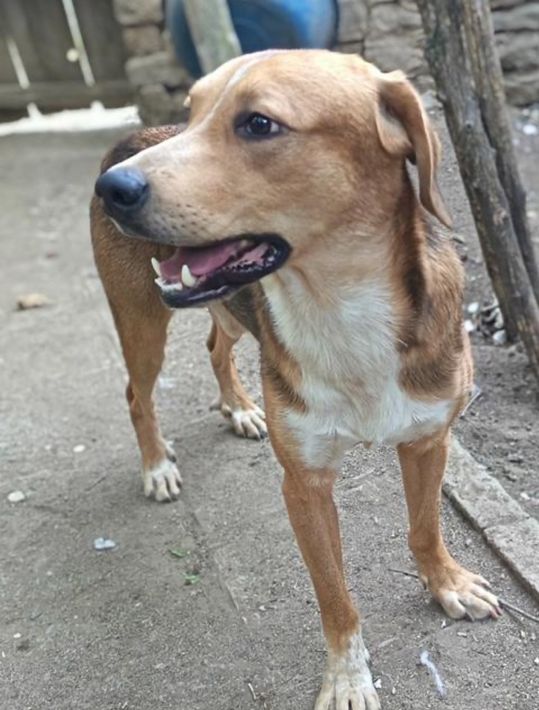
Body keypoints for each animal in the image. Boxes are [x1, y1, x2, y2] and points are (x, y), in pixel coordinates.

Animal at [91, 50, 501, 709]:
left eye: (259, 124)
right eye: (193, 111)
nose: (113, 190)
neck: (341, 311)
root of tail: (129, 137)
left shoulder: (427, 440)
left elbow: (425, 527)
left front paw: (446, 583)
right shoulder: (305, 485)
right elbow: (336, 598)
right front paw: (347, 678)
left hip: (227, 311)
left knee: (215, 347)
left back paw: (238, 408)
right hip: (142, 320)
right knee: (137, 394)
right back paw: (156, 466)